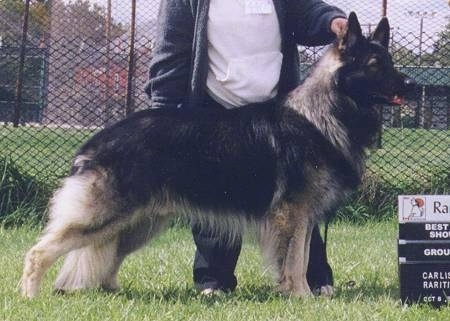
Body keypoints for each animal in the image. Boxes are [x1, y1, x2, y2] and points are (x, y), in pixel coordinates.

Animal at [21, 12, 414, 298]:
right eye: (375, 64)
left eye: (391, 62)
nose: (410, 84)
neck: (325, 111)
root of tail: (94, 143)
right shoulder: (294, 215)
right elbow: (294, 262)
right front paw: (302, 298)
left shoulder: (302, 218)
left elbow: (301, 258)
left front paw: (300, 295)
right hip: (105, 216)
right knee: (38, 252)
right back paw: (30, 297)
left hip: (138, 223)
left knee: (107, 258)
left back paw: (112, 293)